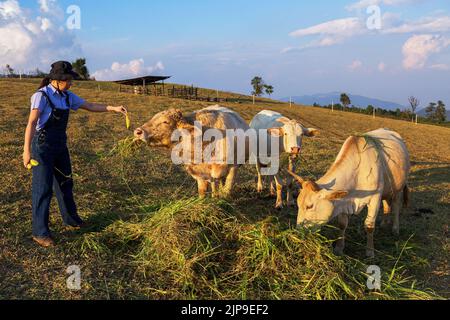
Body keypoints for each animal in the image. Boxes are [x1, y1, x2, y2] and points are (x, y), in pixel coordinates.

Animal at [288, 128, 412, 258]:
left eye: (310, 206)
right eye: (298, 204)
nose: (297, 233)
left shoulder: (374, 198)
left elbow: (369, 226)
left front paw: (370, 251)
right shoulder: (344, 200)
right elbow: (342, 224)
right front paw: (339, 248)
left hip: (398, 188)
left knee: (396, 206)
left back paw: (395, 229)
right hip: (387, 188)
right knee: (387, 203)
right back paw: (384, 223)